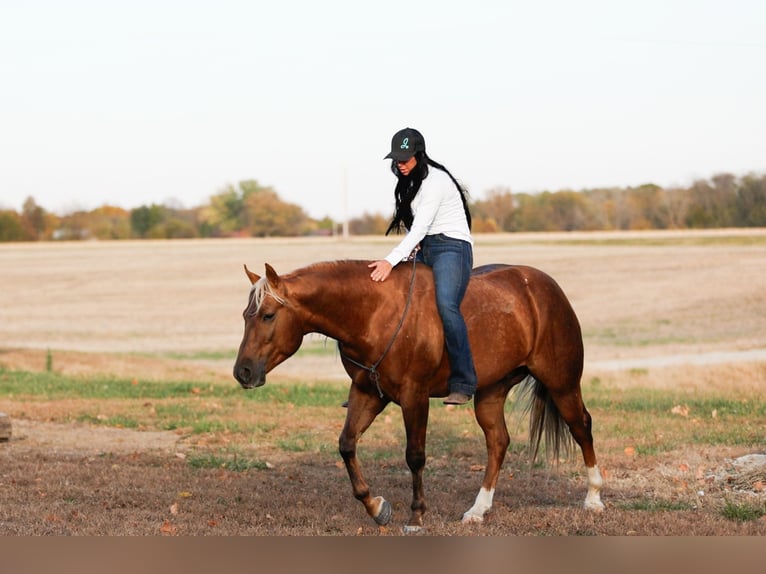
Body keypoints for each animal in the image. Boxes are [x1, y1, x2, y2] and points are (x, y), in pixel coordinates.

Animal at [233, 259, 604, 532]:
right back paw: (478, 510)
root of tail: (542, 287)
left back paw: (594, 498)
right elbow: (347, 444)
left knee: (581, 427)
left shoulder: (415, 396)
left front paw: (416, 515)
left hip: (562, 383)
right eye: (245, 316)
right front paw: (376, 507)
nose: (243, 372)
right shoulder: (367, 393)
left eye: (268, 315)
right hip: (491, 391)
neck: (374, 313)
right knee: (498, 442)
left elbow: (414, 456)